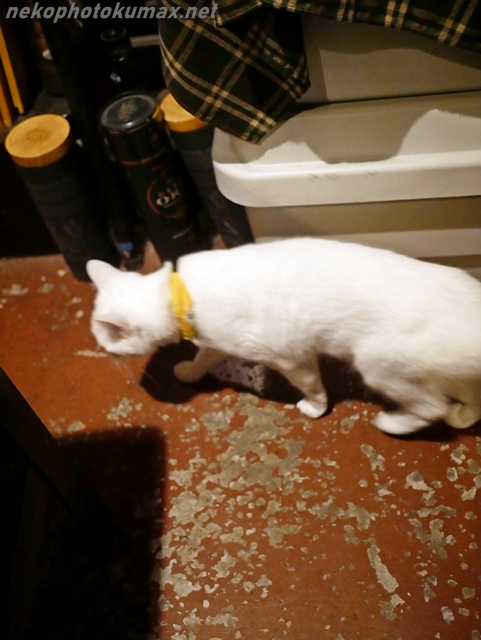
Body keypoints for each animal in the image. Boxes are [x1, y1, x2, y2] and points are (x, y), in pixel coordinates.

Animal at [87, 237, 481, 436]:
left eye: (106, 340)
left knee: (431, 407)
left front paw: (315, 408)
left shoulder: (292, 357)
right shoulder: (217, 343)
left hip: (379, 367)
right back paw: (462, 414)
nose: (104, 352)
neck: (180, 295)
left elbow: (313, 386)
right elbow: (204, 357)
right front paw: (189, 372)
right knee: (463, 403)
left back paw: (392, 423)